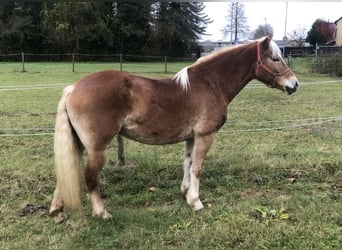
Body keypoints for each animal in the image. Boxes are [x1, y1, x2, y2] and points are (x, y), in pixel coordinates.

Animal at [49, 37, 298, 221]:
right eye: (275, 58)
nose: (294, 84)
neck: (210, 84)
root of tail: (73, 89)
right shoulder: (205, 136)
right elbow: (197, 168)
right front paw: (196, 202)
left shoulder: (191, 137)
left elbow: (187, 164)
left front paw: (186, 194)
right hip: (97, 148)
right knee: (90, 177)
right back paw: (102, 212)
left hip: (79, 144)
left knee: (68, 170)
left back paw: (57, 209)